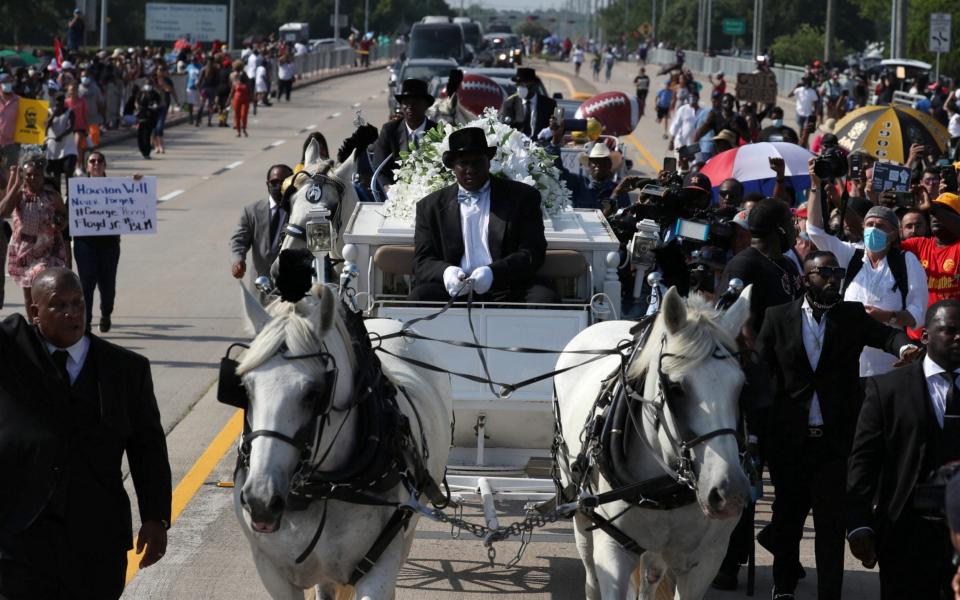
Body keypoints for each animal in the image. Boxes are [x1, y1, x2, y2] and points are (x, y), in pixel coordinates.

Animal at [235, 282, 454, 600]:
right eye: (245, 387)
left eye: (314, 393)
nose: (261, 500)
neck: (322, 487)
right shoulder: (271, 571)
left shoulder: (379, 568)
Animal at [556, 288, 752, 600]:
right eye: (676, 387)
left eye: (741, 386)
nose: (729, 493)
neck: (664, 488)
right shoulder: (613, 550)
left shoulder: (706, 561)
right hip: (580, 512)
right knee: (590, 572)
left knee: (651, 573)